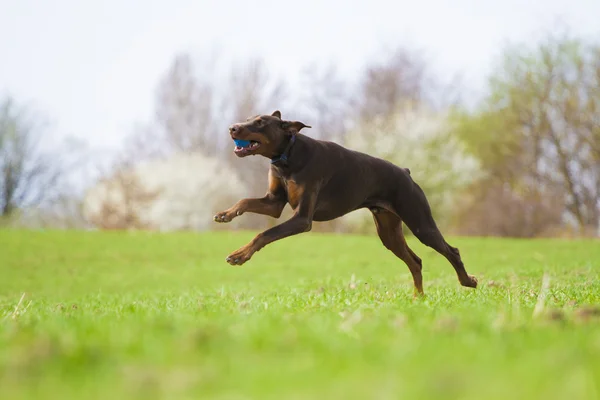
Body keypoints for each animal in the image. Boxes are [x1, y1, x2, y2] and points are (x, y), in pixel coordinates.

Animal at [214, 110, 478, 296]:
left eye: (260, 122)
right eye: (248, 118)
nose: (231, 127)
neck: (287, 156)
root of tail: (406, 172)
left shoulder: (302, 219)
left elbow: (265, 234)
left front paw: (239, 255)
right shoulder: (274, 203)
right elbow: (245, 200)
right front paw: (226, 214)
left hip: (420, 221)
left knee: (451, 251)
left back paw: (468, 281)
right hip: (388, 231)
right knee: (416, 262)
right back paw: (418, 298)